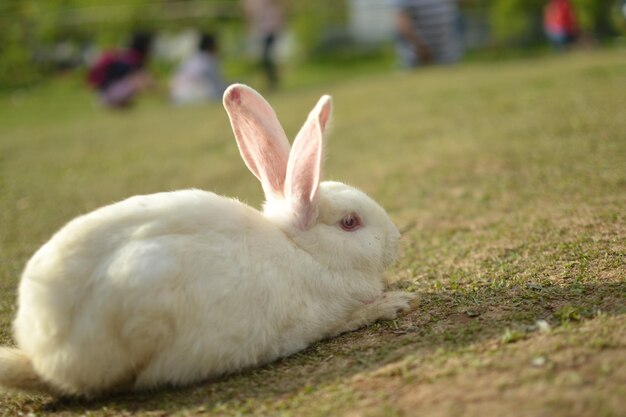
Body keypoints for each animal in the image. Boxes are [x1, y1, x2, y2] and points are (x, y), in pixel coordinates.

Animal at [0, 83, 412, 394]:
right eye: (350, 222)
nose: (396, 239)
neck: (305, 253)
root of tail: (47, 351)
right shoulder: (326, 314)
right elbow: (346, 320)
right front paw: (394, 303)